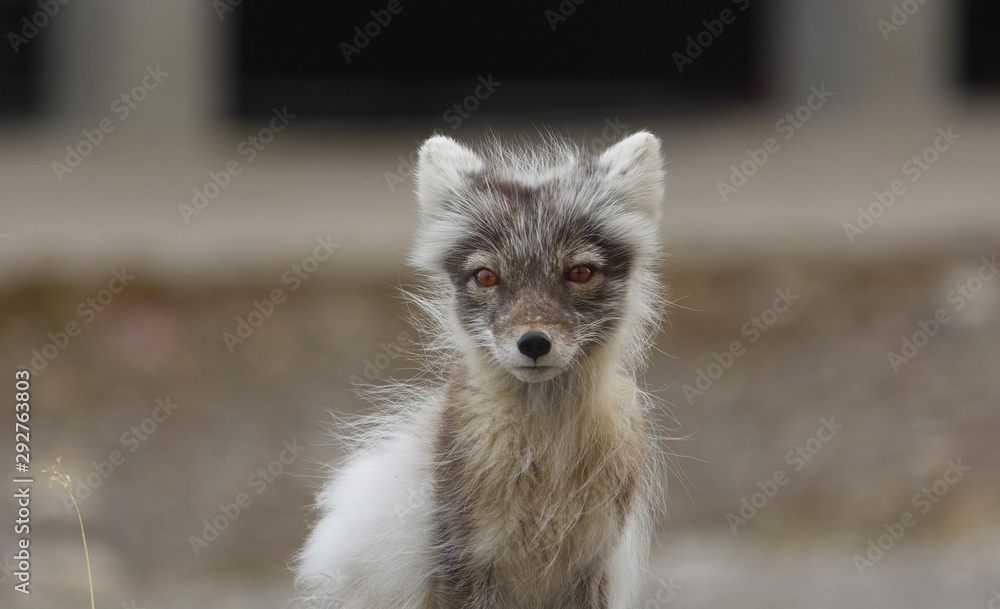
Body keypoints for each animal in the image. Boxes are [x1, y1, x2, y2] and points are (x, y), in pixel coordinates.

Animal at [296, 130, 668, 609]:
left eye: (580, 272)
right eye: (487, 277)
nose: (533, 343)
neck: (545, 460)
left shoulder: (593, 561)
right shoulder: (464, 559)